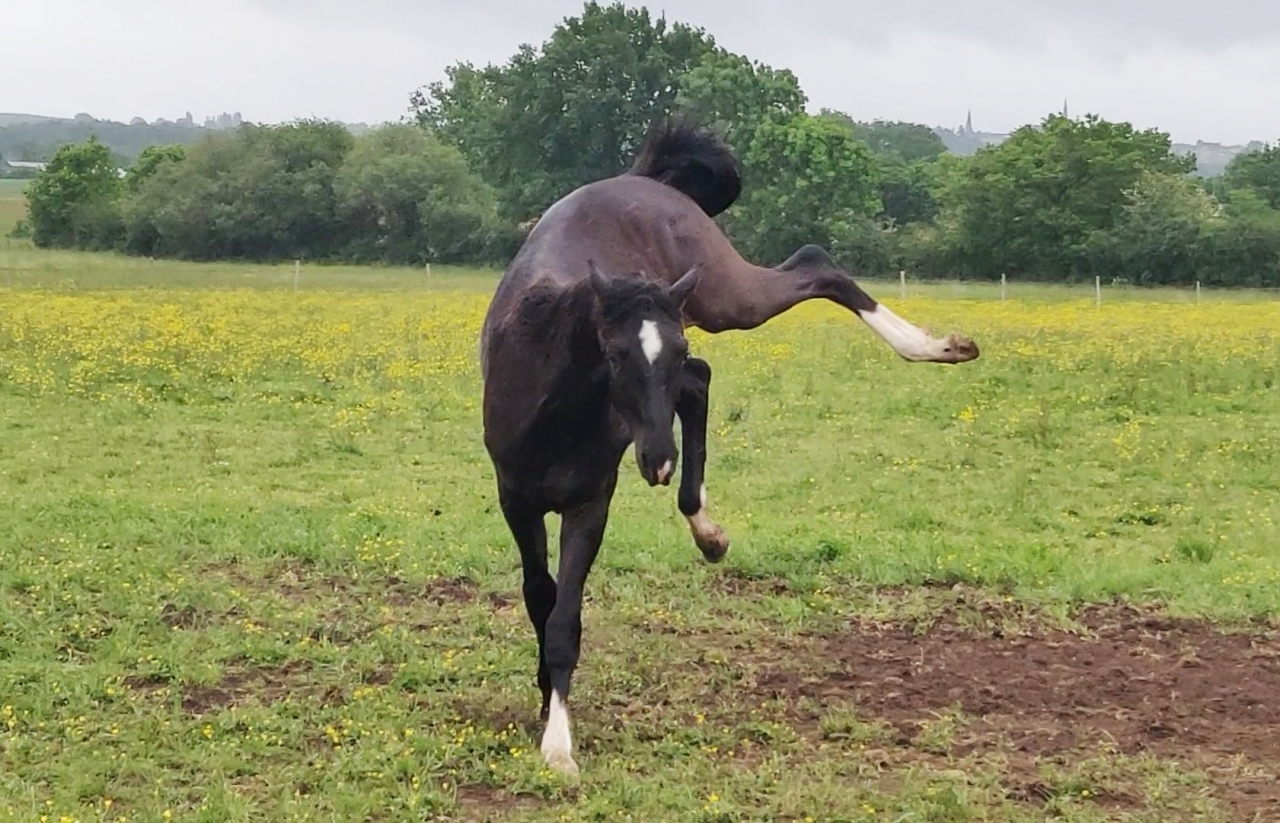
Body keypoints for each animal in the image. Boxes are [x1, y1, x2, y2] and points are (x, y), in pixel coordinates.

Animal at [478, 118, 980, 775]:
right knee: (703, 384)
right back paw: (706, 529)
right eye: (614, 354)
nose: (657, 461)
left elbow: (565, 619)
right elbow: (541, 597)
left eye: (673, 348)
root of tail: (644, 177)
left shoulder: (591, 502)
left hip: (723, 295)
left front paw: (558, 744)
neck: (548, 399)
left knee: (812, 268)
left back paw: (935, 347)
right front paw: (545, 705)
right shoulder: (516, 499)